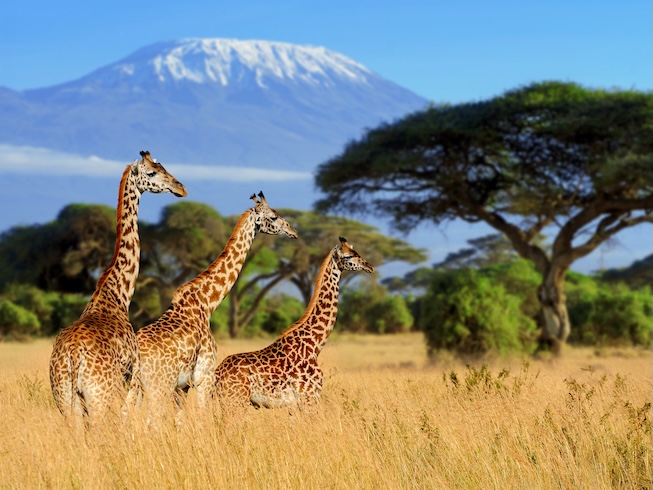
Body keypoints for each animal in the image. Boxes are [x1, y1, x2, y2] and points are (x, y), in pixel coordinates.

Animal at [49, 151, 187, 422]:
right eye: (152, 172)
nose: (181, 188)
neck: (118, 294)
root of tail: (72, 356)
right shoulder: (132, 377)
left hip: (65, 399)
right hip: (99, 396)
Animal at [129, 192, 298, 417]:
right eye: (273, 216)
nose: (293, 232)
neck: (207, 303)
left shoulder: (183, 386)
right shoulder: (205, 376)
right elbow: (202, 416)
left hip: (134, 387)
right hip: (159, 387)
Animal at [214, 236, 374, 410]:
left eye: (356, 252)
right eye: (348, 256)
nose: (369, 266)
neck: (315, 345)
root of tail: (217, 374)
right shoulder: (309, 398)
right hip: (235, 400)